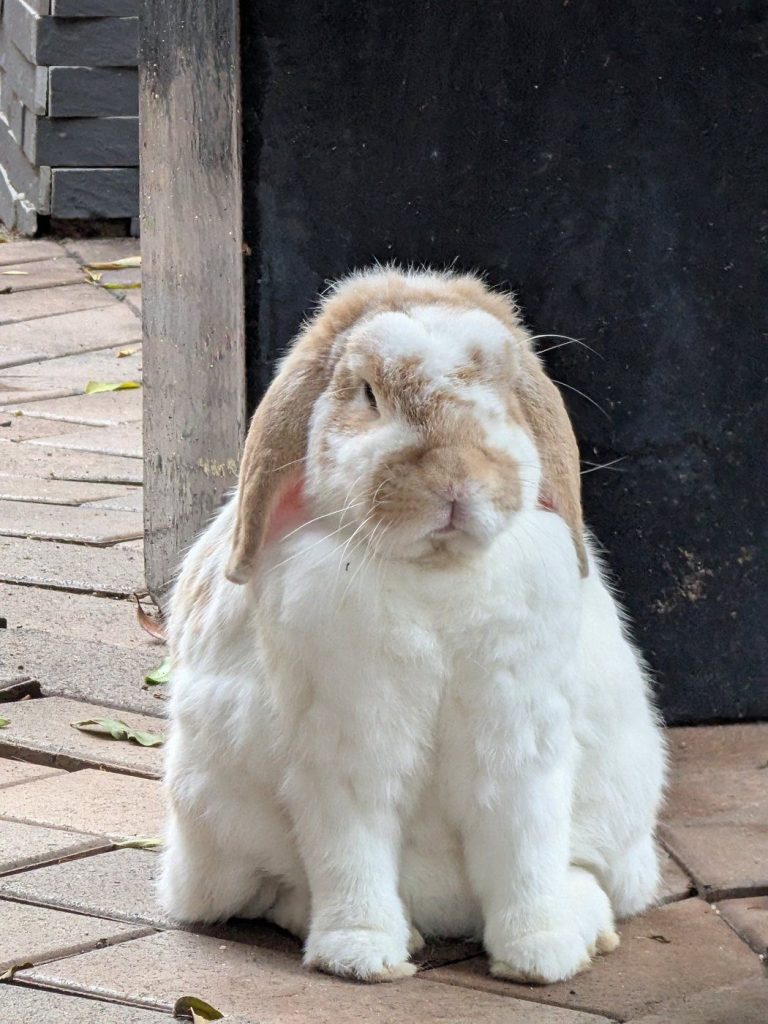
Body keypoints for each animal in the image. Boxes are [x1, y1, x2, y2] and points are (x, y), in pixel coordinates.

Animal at [159, 267, 666, 985]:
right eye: (368, 394)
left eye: (503, 394)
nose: (455, 479)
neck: (434, 575)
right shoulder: (346, 746)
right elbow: (351, 849)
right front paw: (362, 955)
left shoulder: (519, 745)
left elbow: (526, 850)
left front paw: (540, 957)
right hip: (214, 815)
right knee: (277, 889)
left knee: (589, 877)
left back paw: (582, 925)